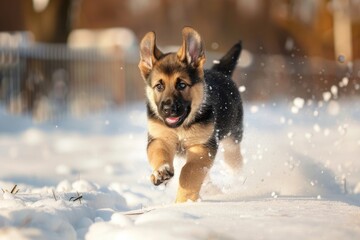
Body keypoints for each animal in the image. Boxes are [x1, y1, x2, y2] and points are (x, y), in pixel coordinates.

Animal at [139, 26, 243, 202]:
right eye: (159, 86)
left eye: (182, 85)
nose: (168, 109)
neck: (181, 127)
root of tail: (220, 72)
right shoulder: (160, 138)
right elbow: (159, 154)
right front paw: (161, 172)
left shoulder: (202, 146)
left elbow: (189, 172)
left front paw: (184, 201)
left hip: (232, 141)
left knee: (235, 163)